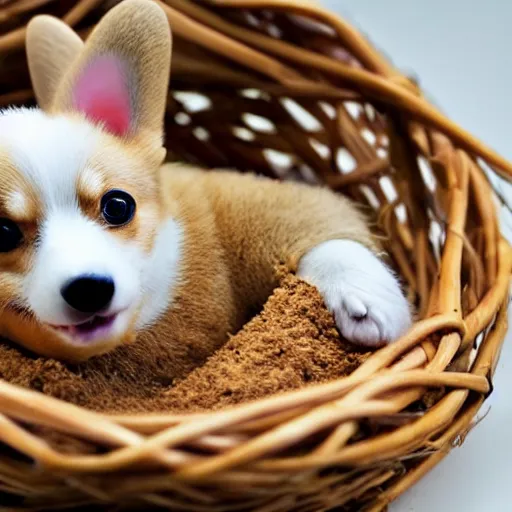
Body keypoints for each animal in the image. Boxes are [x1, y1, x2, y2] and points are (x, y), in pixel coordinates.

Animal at [0, 0, 412, 374]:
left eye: (117, 206)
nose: (90, 288)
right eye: (3, 232)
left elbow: (325, 235)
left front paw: (362, 296)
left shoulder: (253, 210)